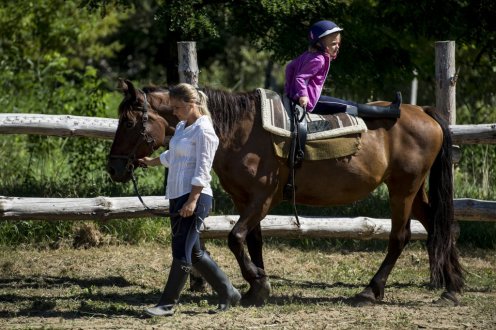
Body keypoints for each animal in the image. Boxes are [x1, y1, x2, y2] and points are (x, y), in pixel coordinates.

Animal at [107, 80, 464, 306]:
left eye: (129, 122)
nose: (114, 167)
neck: (239, 130)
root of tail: (424, 112)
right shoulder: (245, 199)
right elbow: (252, 240)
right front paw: (257, 286)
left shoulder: (264, 197)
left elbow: (235, 237)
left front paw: (258, 281)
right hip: (413, 191)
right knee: (439, 225)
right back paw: (452, 287)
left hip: (403, 189)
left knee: (401, 237)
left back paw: (371, 291)